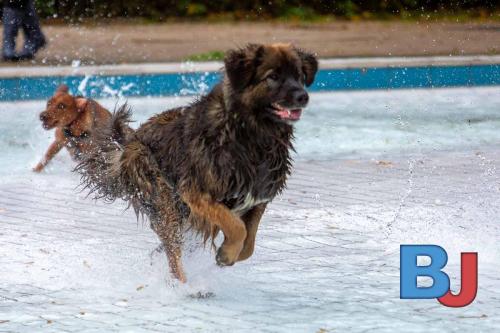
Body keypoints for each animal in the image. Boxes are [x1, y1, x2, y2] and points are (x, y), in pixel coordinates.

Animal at [76, 43, 318, 280]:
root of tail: (129, 144)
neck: (250, 135)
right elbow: (237, 227)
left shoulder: (259, 198)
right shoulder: (195, 193)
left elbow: (249, 243)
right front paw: (227, 253)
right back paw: (183, 285)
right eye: (273, 76)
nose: (303, 97)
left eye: (299, 76)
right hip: (163, 197)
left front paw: (232, 253)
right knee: (174, 252)